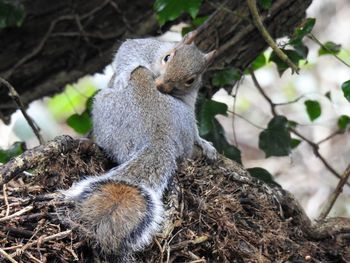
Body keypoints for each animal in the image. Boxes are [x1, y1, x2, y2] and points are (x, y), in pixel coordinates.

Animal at [61, 32, 217, 260]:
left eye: (190, 79)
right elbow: (129, 51)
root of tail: (159, 136)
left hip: (103, 107)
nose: (162, 85)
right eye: (167, 58)